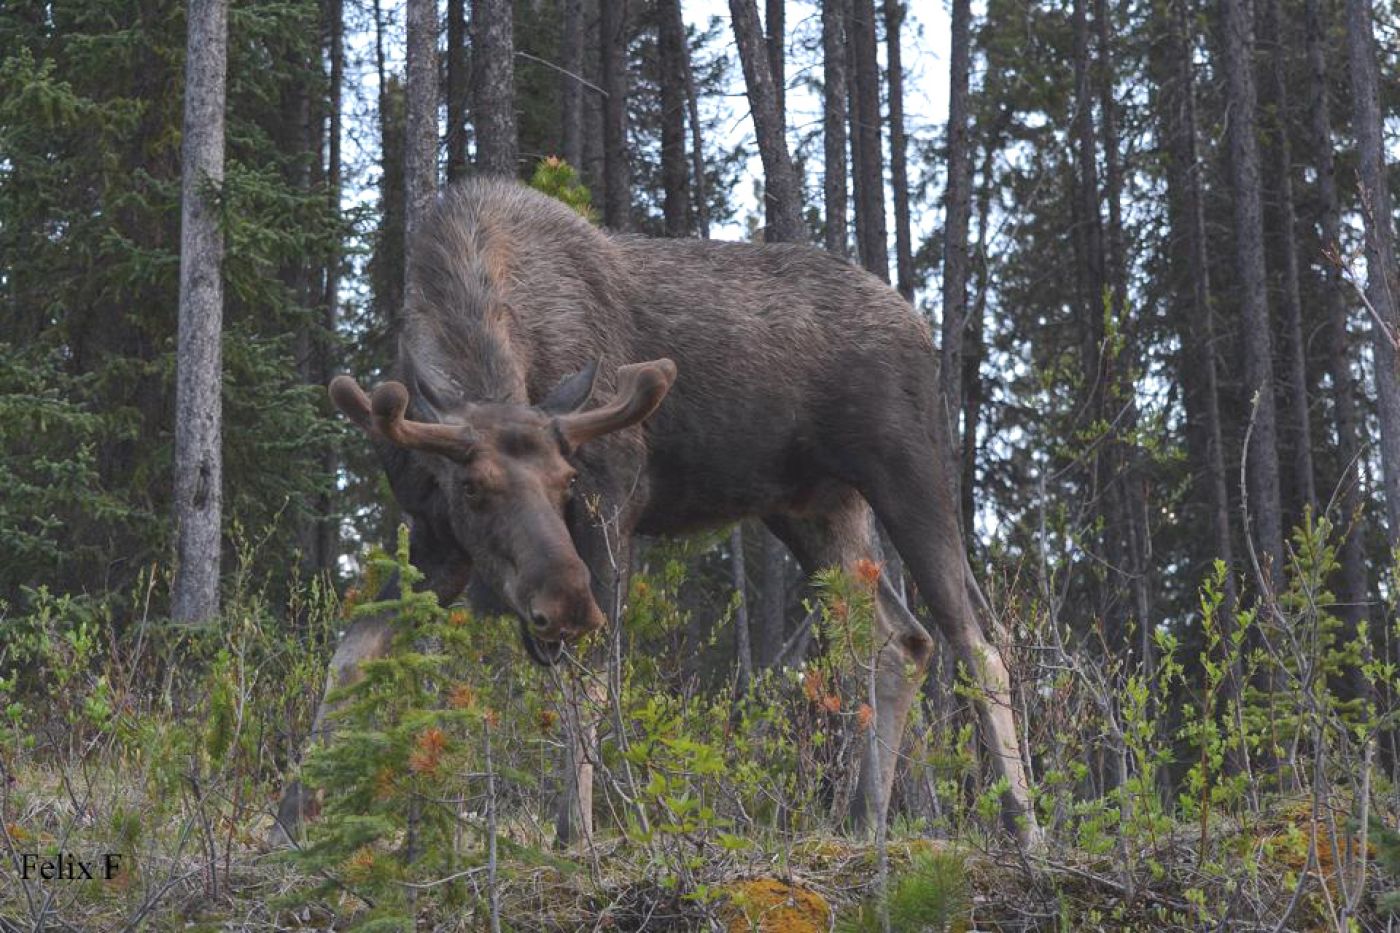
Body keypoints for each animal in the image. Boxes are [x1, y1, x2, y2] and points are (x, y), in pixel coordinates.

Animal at [270, 176, 1041, 851]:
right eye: (473, 489)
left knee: (979, 641)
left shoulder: (614, 502)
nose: (562, 602)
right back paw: (864, 819)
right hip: (815, 507)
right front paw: (288, 822)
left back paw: (1024, 825)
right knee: (900, 641)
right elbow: (350, 655)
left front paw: (576, 832)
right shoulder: (435, 542)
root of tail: (919, 323)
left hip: (907, 469)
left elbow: (587, 679)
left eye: (566, 479)